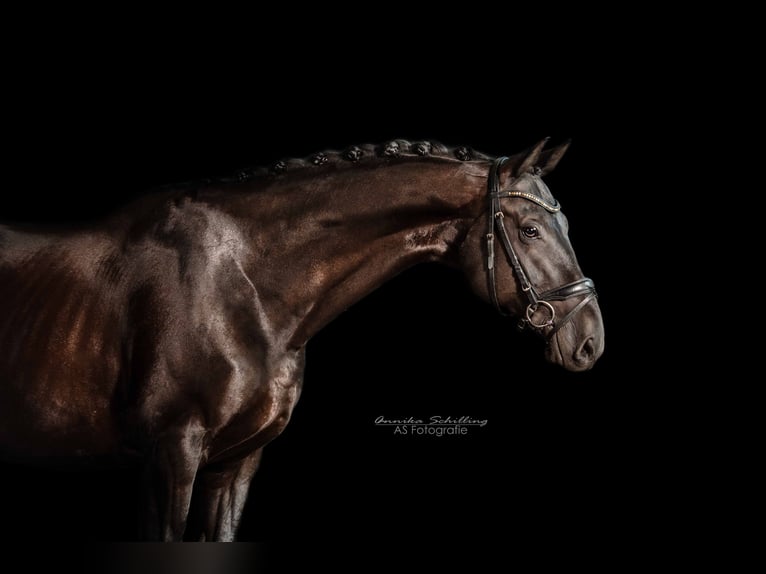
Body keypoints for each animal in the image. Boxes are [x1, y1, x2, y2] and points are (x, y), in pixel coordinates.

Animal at [0, 137, 608, 544]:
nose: (590, 341)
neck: (244, 285)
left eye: (566, 226)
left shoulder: (237, 462)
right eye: (529, 229)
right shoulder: (169, 455)